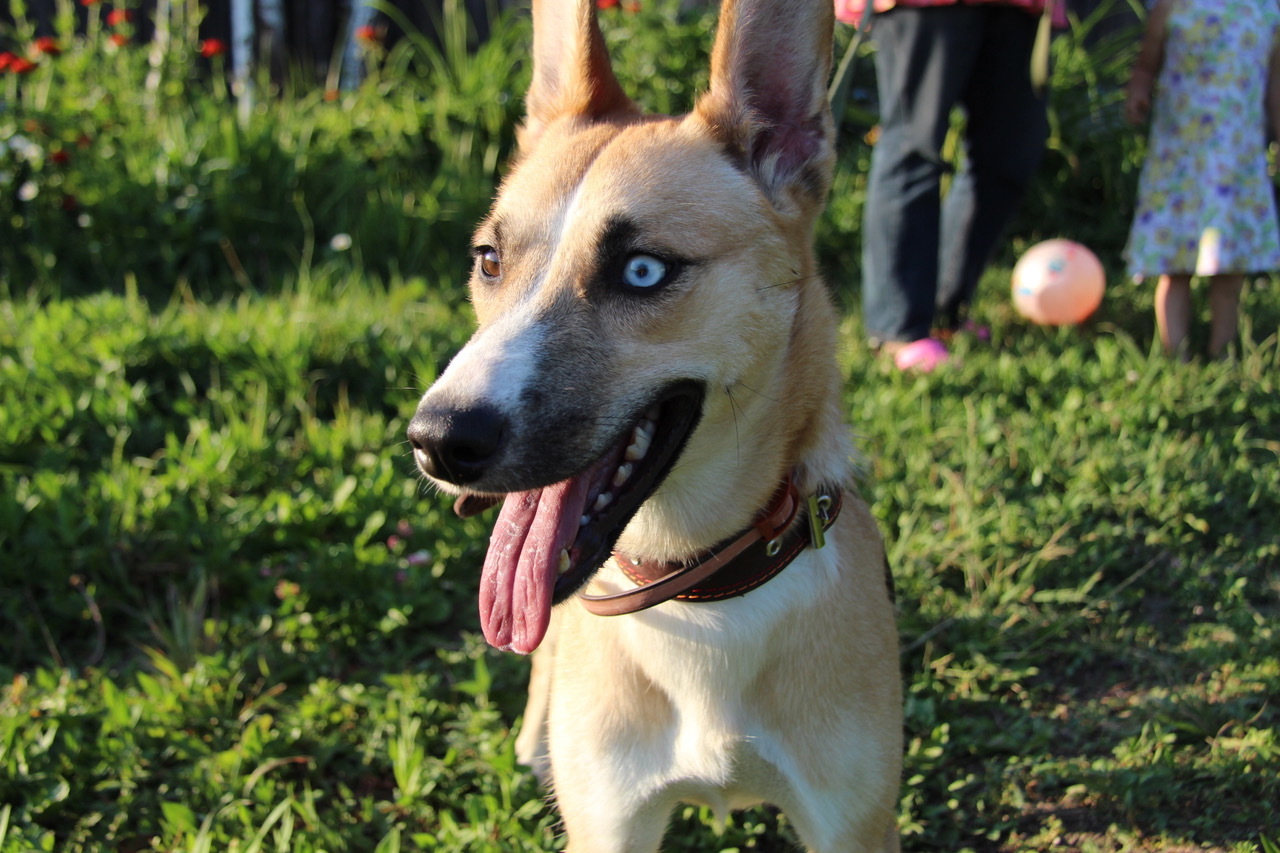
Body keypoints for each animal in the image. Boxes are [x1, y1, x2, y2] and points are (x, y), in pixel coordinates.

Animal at [407, 1, 901, 845]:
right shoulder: (612, 822)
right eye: (489, 260)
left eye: (642, 270)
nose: (437, 440)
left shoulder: (853, 822)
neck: (698, 590)